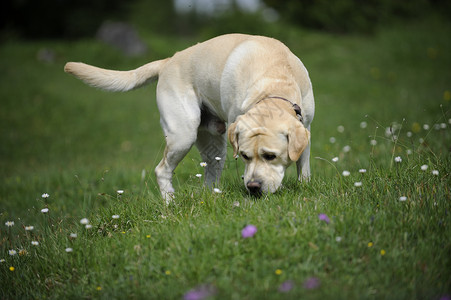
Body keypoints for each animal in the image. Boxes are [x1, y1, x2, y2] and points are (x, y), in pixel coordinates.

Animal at [65, 34, 316, 200]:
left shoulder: (306, 128)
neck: (274, 81)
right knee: (162, 170)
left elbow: (303, 166)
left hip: (213, 141)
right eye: (244, 156)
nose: (253, 187)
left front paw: (304, 187)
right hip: (182, 134)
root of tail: (168, 61)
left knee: (210, 172)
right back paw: (170, 204)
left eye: (270, 156)